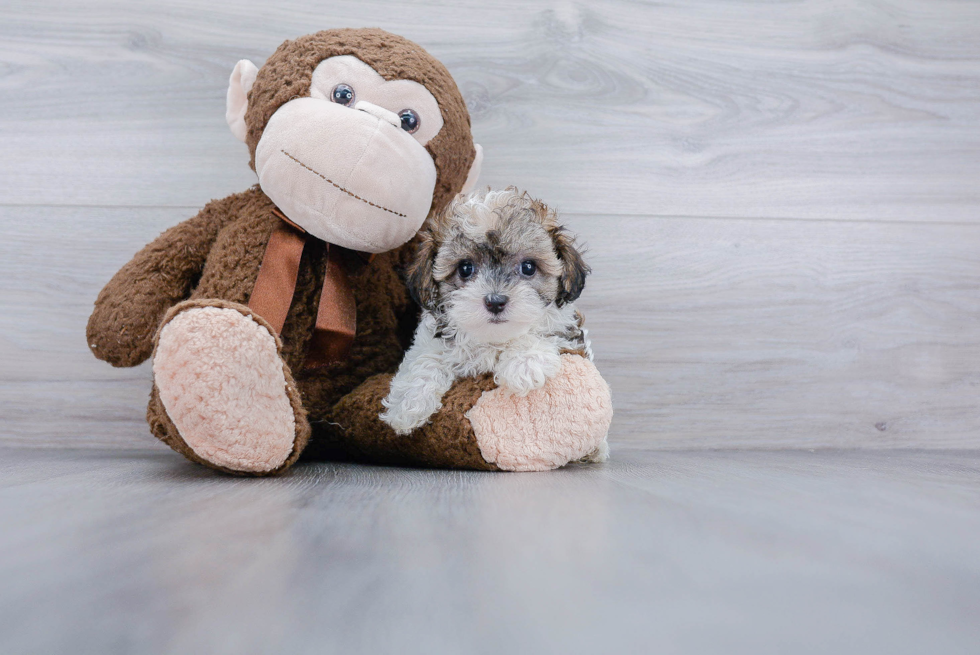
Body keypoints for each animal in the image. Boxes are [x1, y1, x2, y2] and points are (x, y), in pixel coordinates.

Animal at [380, 187, 596, 444]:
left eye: (528, 267)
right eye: (465, 268)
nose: (495, 301)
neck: (493, 338)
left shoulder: (569, 336)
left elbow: (538, 334)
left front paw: (525, 364)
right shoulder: (431, 339)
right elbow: (426, 357)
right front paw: (408, 405)